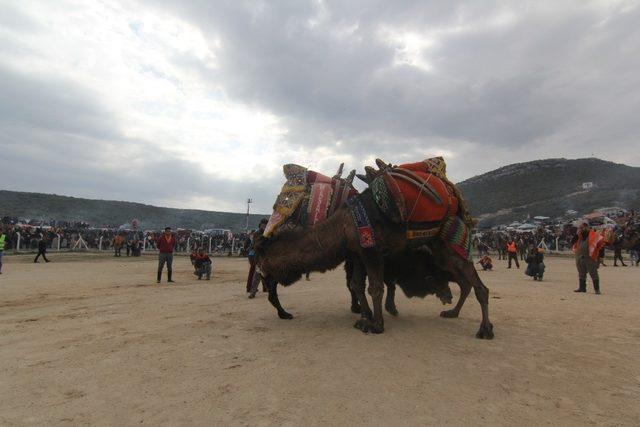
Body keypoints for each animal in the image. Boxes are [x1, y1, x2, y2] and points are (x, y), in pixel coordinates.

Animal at [256, 188, 496, 342]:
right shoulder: (357, 253)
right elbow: (357, 285)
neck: (341, 227)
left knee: (477, 285)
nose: (261, 271)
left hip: (446, 243)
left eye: (265, 255)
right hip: (439, 248)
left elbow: (376, 287)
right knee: (466, 282)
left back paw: (484, 329)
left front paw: (376, 324)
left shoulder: (372, 251)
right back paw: (453, 312)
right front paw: (365, 317)